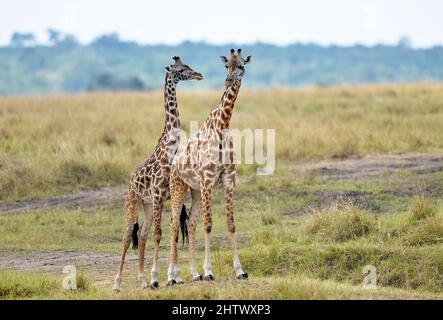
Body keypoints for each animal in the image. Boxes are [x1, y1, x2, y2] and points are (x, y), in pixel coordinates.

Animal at [113, 56, 206, 292]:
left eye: (187, 66)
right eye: (180, 69)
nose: (199, 74)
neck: (169, 150)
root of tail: (130, 181)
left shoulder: (166, 197)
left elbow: (171, 231)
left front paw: (172, 277)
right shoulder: (157, 196)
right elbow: (159, 235)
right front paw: (158, 278)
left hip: (146, 205)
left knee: (142, 234)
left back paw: (142, 280)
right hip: (133, 201)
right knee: (127, 236)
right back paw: (117, 283)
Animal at [166, 48, 251, 284]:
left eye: (241, 66)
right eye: (226, 66)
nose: (228, 81)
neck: (222, 126)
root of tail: (175, 158)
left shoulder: (229, 179)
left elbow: (231, 224)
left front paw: (240, 271)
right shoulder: (207, 181)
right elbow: (209, 224)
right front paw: (209, 271)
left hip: (194, 190)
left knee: (190, 222)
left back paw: (193, 274)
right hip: (178, 186)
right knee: (174, 224)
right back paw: (172, 276)